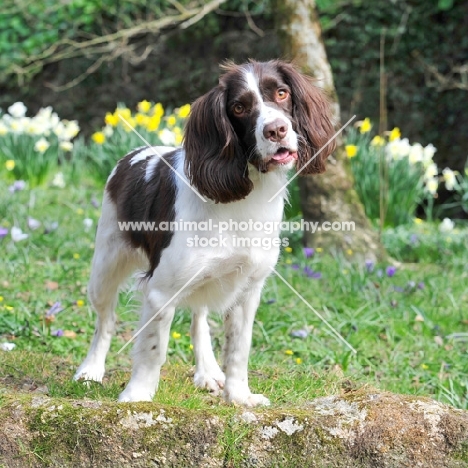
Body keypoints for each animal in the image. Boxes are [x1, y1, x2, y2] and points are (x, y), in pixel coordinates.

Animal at [74, 61, 336, 406]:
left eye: (282, 93)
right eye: (239, 107)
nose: (276, 130)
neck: (244, 199)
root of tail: (132, 155)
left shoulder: (248, 289)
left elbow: (238, 349)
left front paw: (239, 396)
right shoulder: (160, 291)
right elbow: (152, 350)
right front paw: (138, 395)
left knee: (198, 319)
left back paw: (208, 372)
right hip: (104, 269)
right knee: (105, 321)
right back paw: (91, 370)